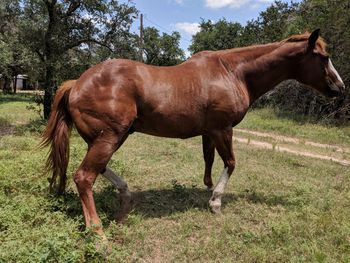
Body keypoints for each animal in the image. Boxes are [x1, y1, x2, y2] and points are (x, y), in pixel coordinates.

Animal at [41, 29, 344, 238]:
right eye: (324, 58)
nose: (340, 88)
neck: (233, 72)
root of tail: (76, 83)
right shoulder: (223, 129)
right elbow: (231, 163)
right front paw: (216, 201)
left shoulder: (209, 132)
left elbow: (209, 161)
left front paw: (209, 189)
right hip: (109, 138)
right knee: (84, 177)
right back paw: (98, 233)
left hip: (107, 138)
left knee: (100, 170)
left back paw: (126, 197)